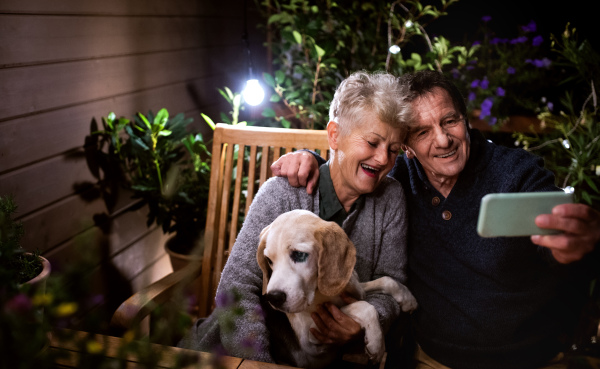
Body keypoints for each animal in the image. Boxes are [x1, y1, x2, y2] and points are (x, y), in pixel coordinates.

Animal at [256, 208, 418, 366]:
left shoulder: (356, 288)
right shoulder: (310, 336)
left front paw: (409, 300)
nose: (274, 298)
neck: (320, 292)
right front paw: (377, 344)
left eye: (299, 255)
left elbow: (386, 281)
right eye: (269, 260)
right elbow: (364, 307)